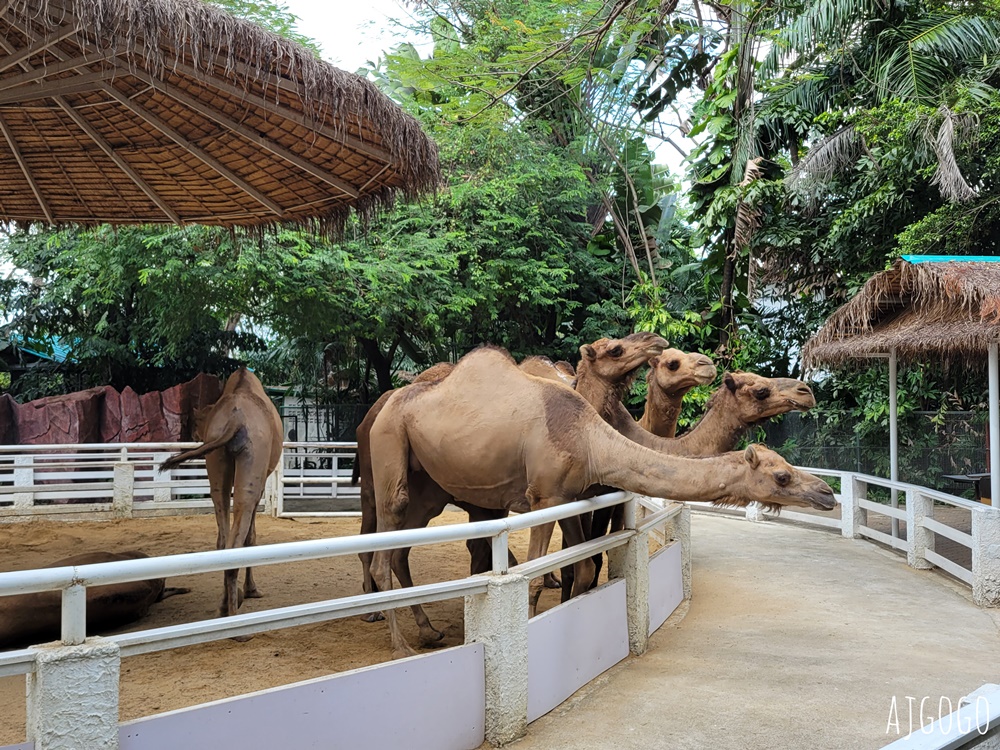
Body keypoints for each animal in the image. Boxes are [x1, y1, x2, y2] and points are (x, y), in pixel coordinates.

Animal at [159, 368, 282, 620]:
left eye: (194, 422)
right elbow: (251, 537)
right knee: (238, 532)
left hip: (216, 459)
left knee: (222, 532)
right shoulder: (261, 481)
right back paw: (235, 617)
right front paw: (252, 590)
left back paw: (224, 606)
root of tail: (235, 420)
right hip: (252, 460)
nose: (193, 435)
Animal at [368, 346, 836, 656]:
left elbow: (585, 566)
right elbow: (543, 574)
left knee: (407, 549)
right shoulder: (546, 497)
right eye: (781, 475)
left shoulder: (576, 497)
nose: (827, 492)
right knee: (383, 541)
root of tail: (386, 401)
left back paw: (428, 631)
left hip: (433, 485)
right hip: (388, 447)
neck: (594, 437)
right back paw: (398, 644)